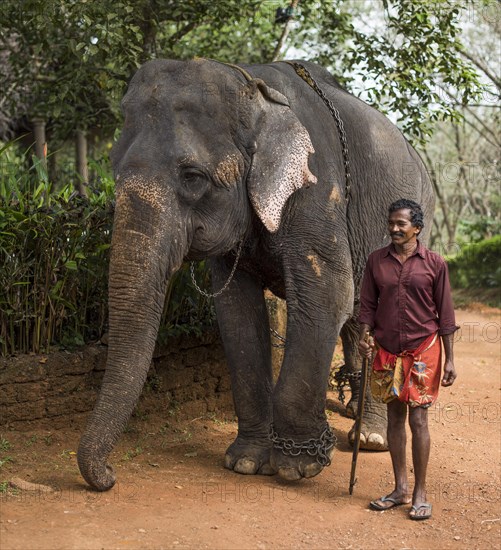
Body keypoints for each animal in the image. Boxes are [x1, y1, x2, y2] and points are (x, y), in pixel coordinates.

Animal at [76, 59, 432, 492]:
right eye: (114, 172)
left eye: (192, 177)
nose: (109, 477)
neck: (251, 83)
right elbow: (236, 312)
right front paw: (246, 462)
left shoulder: (318, 187)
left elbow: (327, 293)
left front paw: (299, 466)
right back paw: (355, 416)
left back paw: (370, 438)